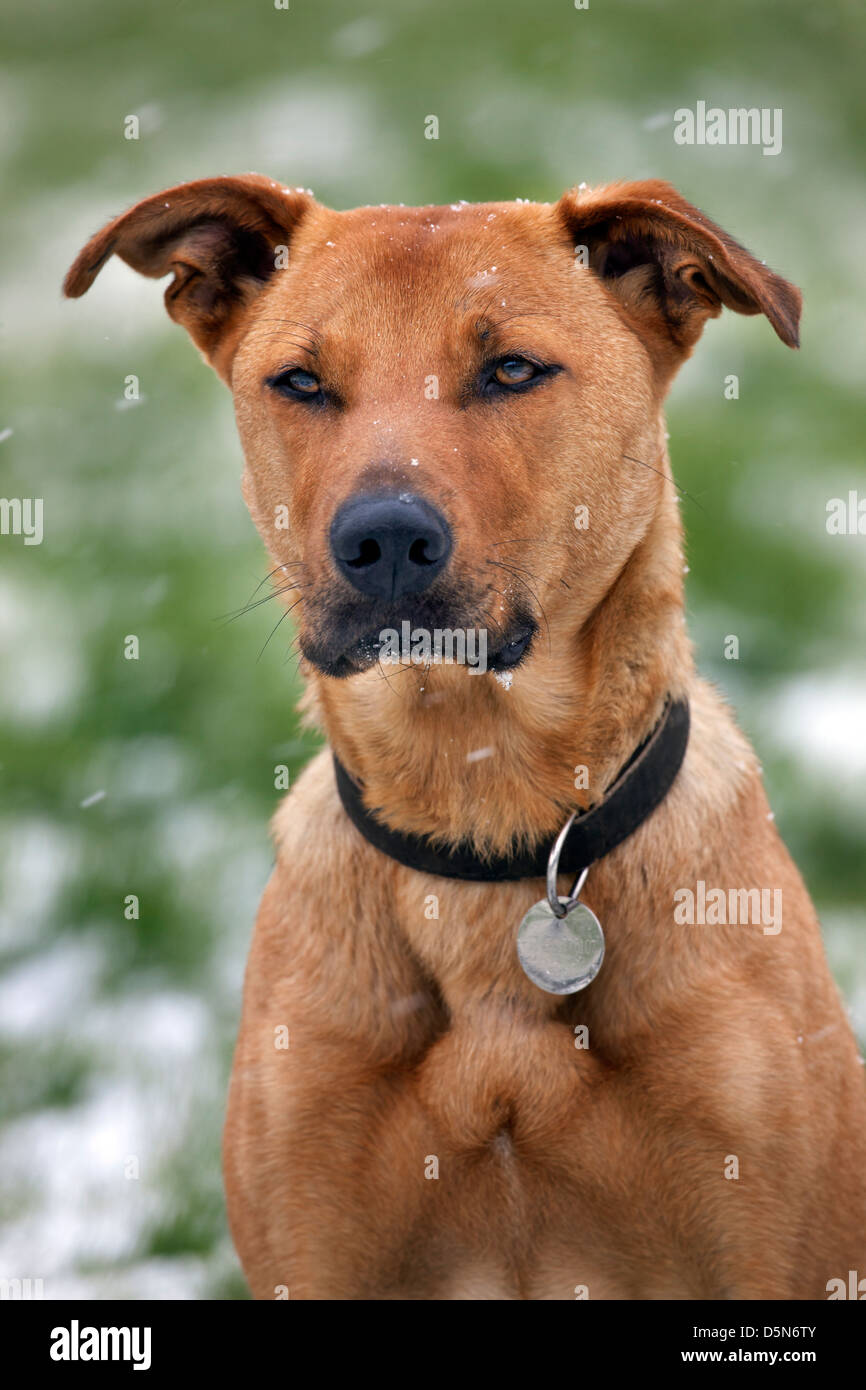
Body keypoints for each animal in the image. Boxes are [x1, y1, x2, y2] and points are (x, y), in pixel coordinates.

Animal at [66, 179, 866, 1295]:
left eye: (512, 369)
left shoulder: (769, 1236)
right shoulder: (313, 1232)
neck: (481, 809)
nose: (384, 539)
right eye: (301, 381)